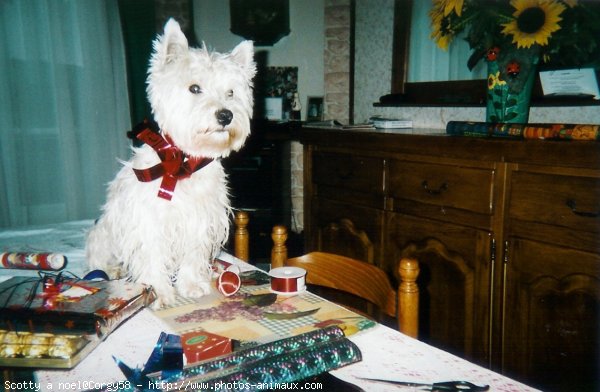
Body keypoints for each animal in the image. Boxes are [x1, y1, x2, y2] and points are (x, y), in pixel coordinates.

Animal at [85, 19, 254, 306]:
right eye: (194, 88)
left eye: (231, 92)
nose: (226, 115)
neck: (182, 162)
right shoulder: (149, 224)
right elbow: (152, 258)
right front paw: (160, 293)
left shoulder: (200, 221)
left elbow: (193, 255)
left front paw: (191, 286)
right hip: (103, 237)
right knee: (97, 259)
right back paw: (112, 269)